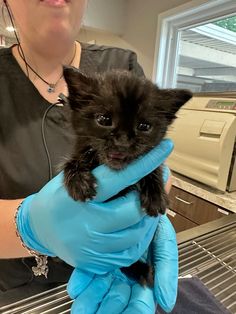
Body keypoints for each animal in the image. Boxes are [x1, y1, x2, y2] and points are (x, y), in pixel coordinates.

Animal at [62, 67, 192, 286]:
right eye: (104, 120)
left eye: (144, 126)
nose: (122, 142)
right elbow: (73, 160)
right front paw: (79, 181)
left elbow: (153, 168)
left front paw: (155, 194)